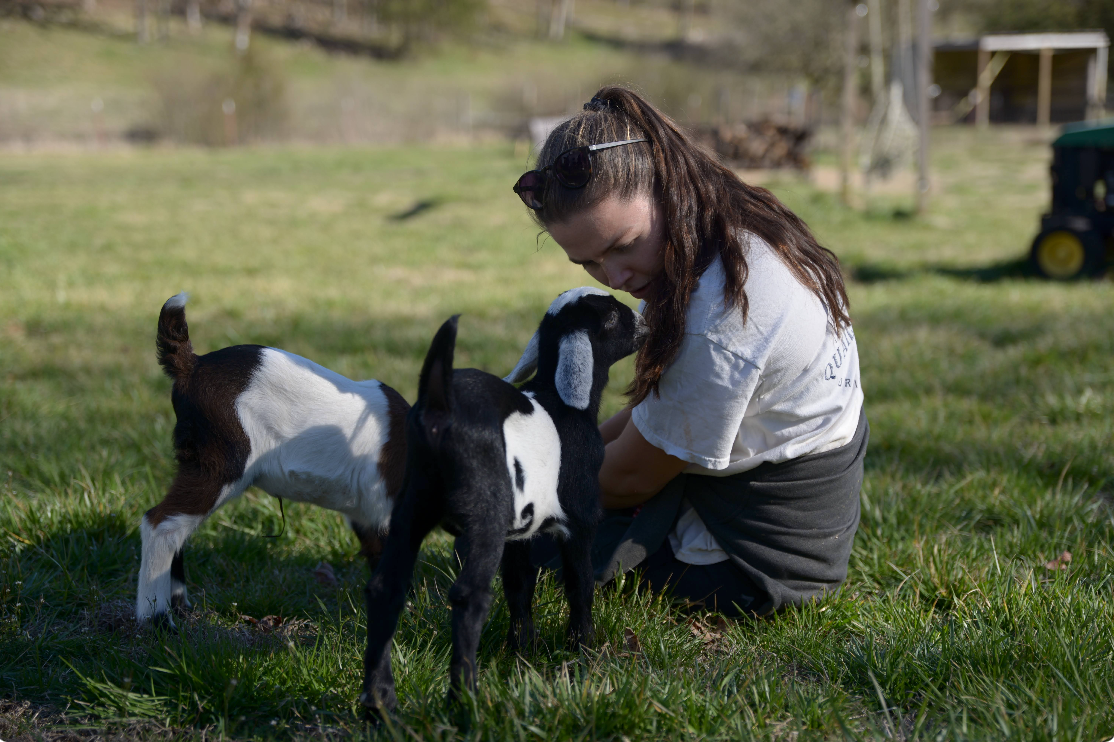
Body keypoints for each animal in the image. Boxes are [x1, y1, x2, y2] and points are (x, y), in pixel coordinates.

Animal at [137, 293, 409, 628]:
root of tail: (192, 364)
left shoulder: (368, 515)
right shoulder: (386, 505)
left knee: (179, 527)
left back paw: (181, 607)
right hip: (222, 463)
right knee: (160, 523)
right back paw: (156, 619)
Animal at [360, 287, 647, 714]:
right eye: (613, 315)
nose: (647, 324)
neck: (562, 400)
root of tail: (439, 407)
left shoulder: (520, 533)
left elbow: (519, 585)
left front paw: (522, 650)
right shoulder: (579, 519)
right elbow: (579, 584)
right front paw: (583, 649)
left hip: (412, 505)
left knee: (385, 588)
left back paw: (380, 705)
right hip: (484, 517)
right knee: (469, 597)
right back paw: (465, 701)